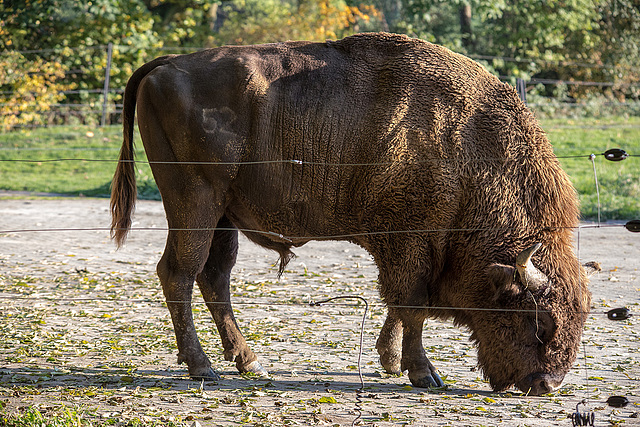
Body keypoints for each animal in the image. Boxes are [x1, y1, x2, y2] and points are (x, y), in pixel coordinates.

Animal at [110, 31, 596, 396]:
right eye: (540, 320)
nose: (546, 384)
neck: (469, 152)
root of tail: (166, 64)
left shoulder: (405, 248)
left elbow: (399, 305)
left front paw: (391, 362)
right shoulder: (409, 242)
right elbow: (412, 304)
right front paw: (425, 374)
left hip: (223, 214)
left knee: (215, 276)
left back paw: (248, 361)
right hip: (195, 202)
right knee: (180, 271)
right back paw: (202, 367)